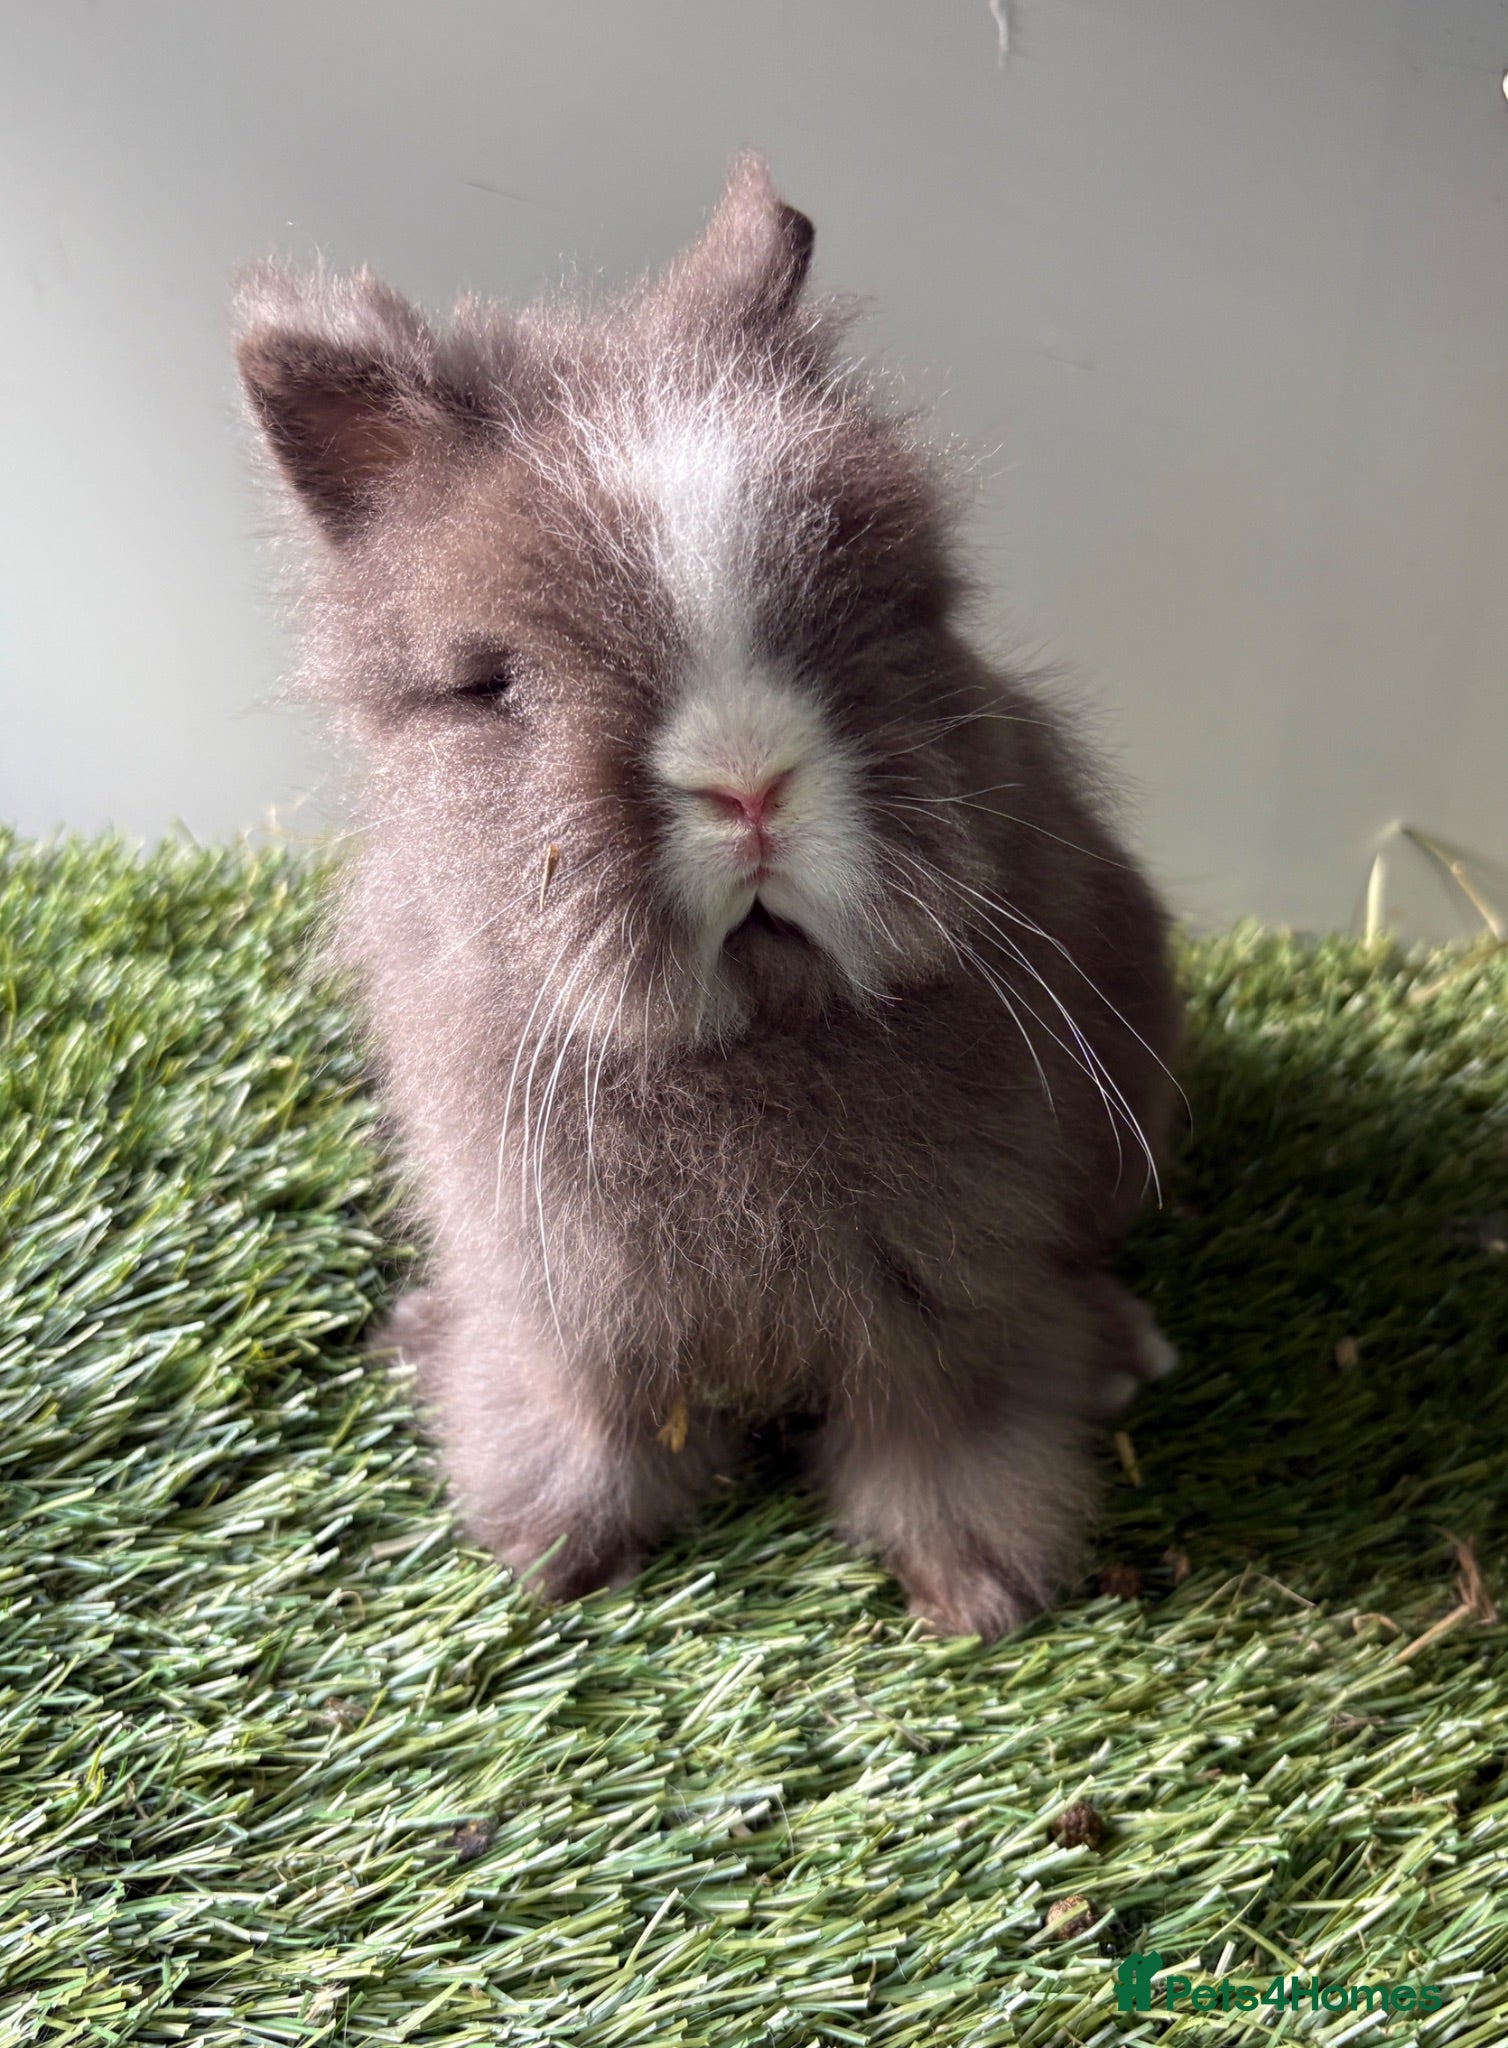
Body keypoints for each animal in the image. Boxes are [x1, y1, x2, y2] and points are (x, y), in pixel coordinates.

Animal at [234, 153, 1182, 1640]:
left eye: (894, 608)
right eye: (494, 684)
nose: (747, 781)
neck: (750, 1043)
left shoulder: (948, 1289)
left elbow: (943, 1429)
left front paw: (979, 1590)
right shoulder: (567, 1292)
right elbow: (597, 1424)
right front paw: (551, 1558)